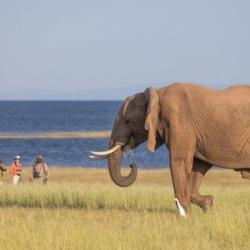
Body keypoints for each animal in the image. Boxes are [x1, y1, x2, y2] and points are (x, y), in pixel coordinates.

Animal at [90, 83, 250, 216]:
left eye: (127, 122)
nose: (131, 164)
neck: (157, 93)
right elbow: (199, 165)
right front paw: (207, 204)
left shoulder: (179, 122)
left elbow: (179, 162)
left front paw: (184, 214)